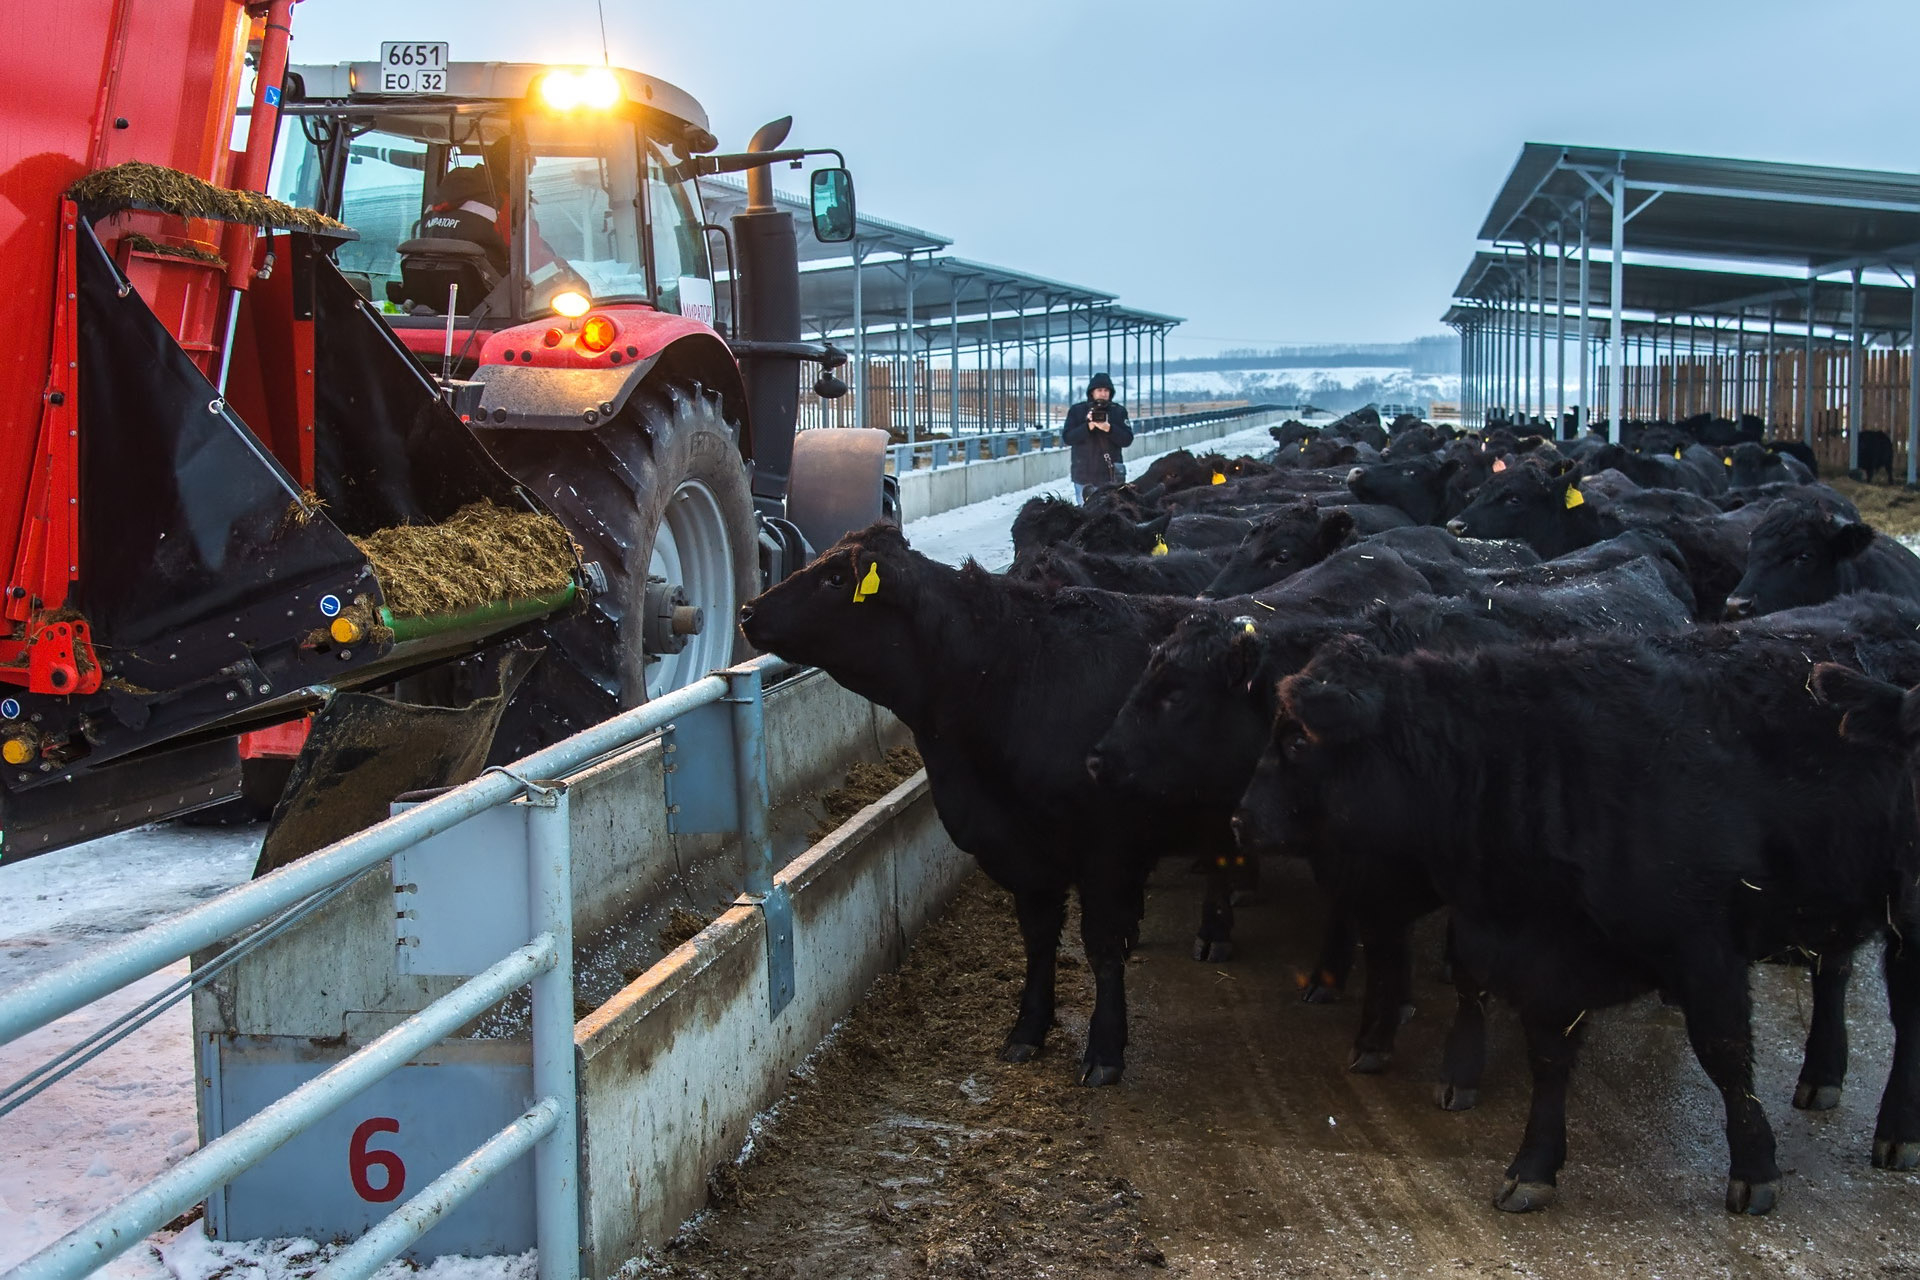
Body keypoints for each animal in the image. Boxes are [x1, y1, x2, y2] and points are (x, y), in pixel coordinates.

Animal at [1236, 594, 1920, 1220]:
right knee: (1833, 970)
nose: (1240, 819)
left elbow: (1725, 1054)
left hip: (1906, 915)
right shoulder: (1547, 957)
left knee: (1903, 1015)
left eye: (1296, 741)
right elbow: (1549, 1057)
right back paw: (1823, 1074)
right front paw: (1533, 1166)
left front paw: (1754, 1169)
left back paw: (1897, 1132)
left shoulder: (1703, 948)